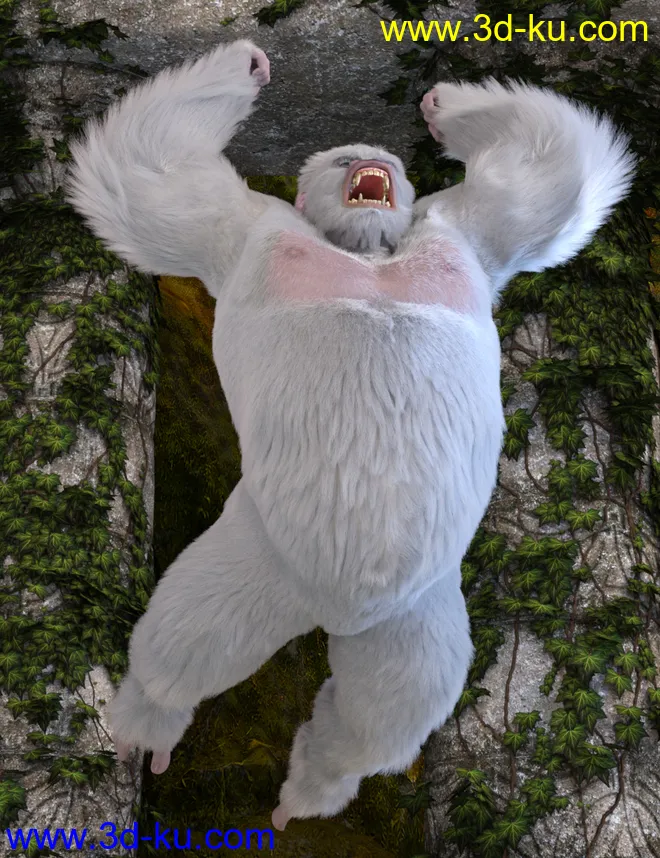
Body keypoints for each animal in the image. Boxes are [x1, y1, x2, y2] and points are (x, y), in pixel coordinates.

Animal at [65, 39, 634, 831]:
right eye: (339, 160)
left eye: (383, 164)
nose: (371, 157)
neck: (367, 254)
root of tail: (330, 610)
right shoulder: (243, 229)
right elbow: (153, 173)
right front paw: (248, 65)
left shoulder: (468, 229)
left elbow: (545, 177)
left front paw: (442, 103)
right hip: (254, 557)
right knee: (185, 644)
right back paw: (151, 724)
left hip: (415, 618)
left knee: (380, 718)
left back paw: (312, 787)